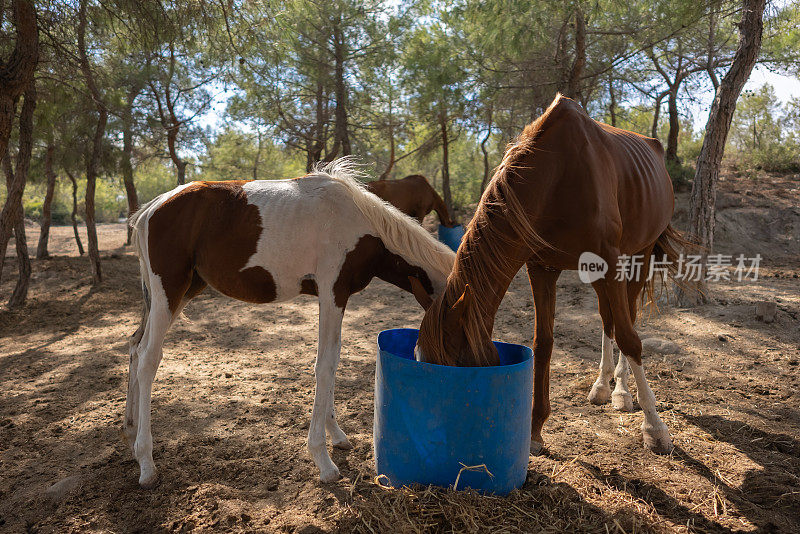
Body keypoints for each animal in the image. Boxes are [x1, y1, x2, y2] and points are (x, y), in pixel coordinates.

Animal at [122, 160, 454, 490]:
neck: (361, 223)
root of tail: (152, 207)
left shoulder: (334, 297)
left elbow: (332, 361)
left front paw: (336, 435)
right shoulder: (332, 292)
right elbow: (326, 364)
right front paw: (323, 460)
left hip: (183, 292)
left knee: (136, 346)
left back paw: (130, 427)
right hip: (169, 291)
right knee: (149, 359)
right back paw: (146, 462)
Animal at [410, 94, 684, 458]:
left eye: (454, 367)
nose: (440, 434)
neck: (556, 177)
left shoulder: (611, 260)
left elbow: (630, 338)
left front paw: (655, 428)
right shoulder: (542, 268)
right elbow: (544, 343)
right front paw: (535, 432)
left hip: (640, 253)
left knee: (628, 319)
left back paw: (623, 392)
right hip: (596, 270)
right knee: (608, 318)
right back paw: (602, 386)